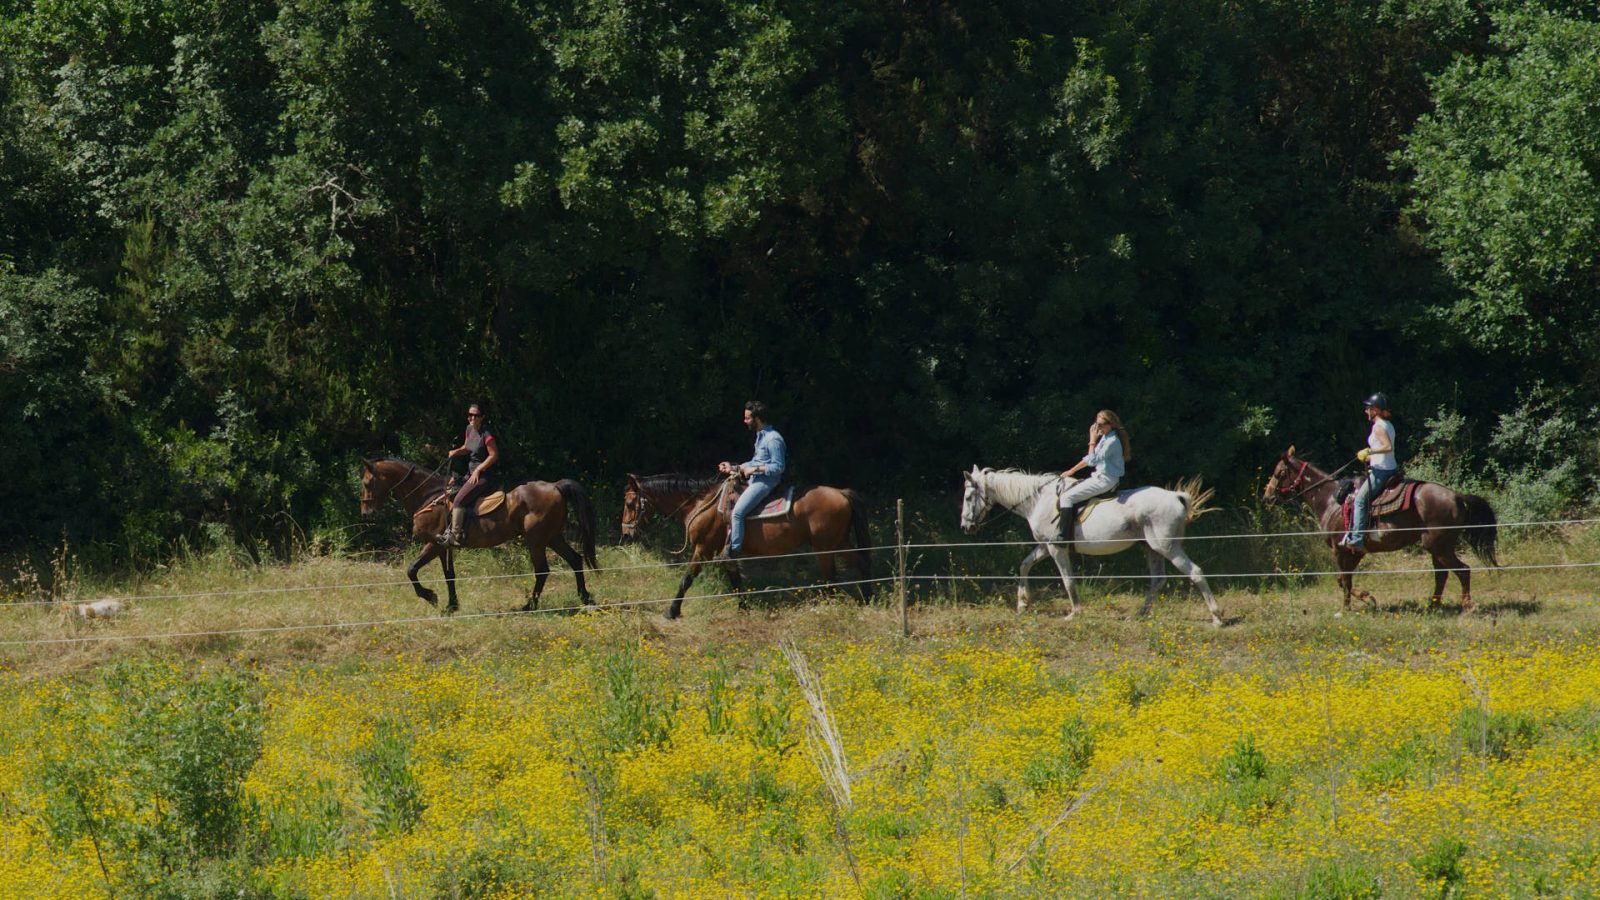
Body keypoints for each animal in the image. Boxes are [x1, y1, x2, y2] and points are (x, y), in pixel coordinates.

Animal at [360, 458, 598, 611]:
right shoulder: (443, 548)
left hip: (536, 540)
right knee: (575, 559)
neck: (428, 496)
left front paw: (430, 596)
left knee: (542, 571)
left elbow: (411, 570)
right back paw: (585, 597)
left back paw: (530, 605)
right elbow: (449, 575)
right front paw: (452, 605)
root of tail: (556, 486)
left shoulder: (433, 545)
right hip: (552, 537)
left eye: (367, 482)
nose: (365, 512)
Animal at [620, 470, 876, 614]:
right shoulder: (724, 553)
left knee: (832, 577)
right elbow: (735, 581)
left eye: (630, 503)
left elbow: (686, 578)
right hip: (838, 543)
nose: (626, 532)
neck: (702, 504)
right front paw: (743, 609)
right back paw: (867, 599)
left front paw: (672, 611)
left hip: (825, 547)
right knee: (861, 563)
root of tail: (841, 493)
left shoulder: (703, 549)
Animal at [960, 461, 1222, 624]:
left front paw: (1074, 612)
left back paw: (1217, 617)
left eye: (969, 496)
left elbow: (1068, 579)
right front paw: (1023, 604)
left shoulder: (1056, 548)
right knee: (1158, 580)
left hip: (1167, 547)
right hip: (1153, 549)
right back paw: (1139, 614)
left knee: (1195, 572)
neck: (1037, 501)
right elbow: (1024, 565)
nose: (965, 527)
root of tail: (1175, 497)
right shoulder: (1045, 546)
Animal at [1260, 445, 1497, 611]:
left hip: (1440, 547)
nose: (1267, 497)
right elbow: (1343, 580)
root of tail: (1457, 496)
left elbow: (1344, 581)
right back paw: (1433, 605)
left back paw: (1467, 605)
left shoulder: (1340, 550)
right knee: (1442, 575)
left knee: (1462, 570)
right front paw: (1367, 597)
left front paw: (1346, 609)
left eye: (1279, 472)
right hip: (1437, 547)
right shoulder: (1354, 551)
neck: (1330, 501)